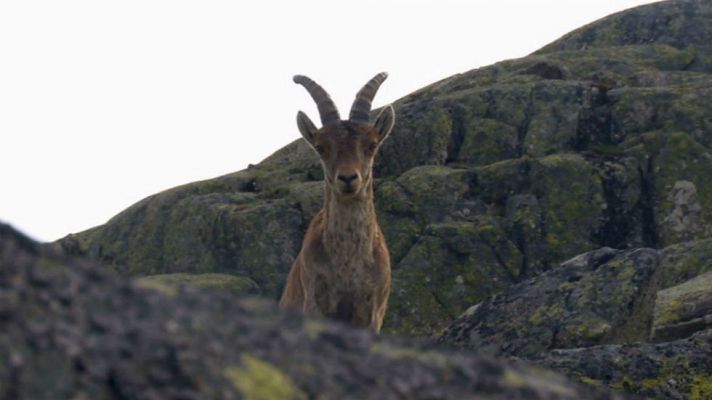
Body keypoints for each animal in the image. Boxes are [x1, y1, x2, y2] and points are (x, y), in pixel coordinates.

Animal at [279, 73, 395, 333]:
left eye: (372, 144)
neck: (348, 266)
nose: (348, 178)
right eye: (321, 147)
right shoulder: (315, 302)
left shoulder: (373, 312)